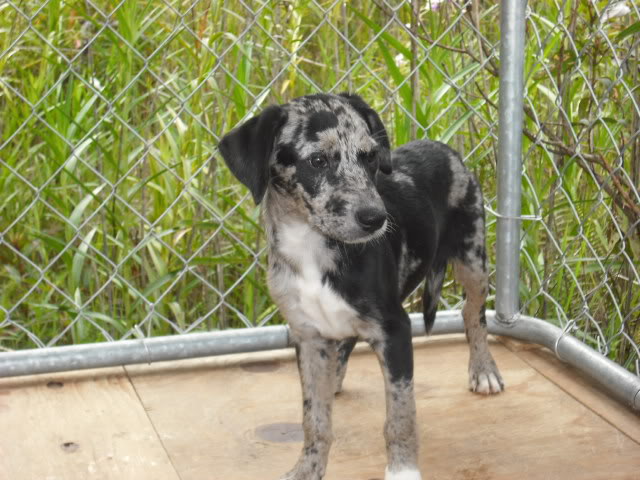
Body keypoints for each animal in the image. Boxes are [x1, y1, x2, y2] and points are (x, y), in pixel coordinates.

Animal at [218, 92, 502, 478]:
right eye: (318, 160)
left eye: (369, 156)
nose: (375, 219)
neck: (312, 245)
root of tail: (442, 146)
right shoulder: (307, 335)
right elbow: (314, 419)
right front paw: (308, 467)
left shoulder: (395, 330)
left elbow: (400, 414)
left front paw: (402, 470)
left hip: (473, 259)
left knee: (474, 313)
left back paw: (484, 370)